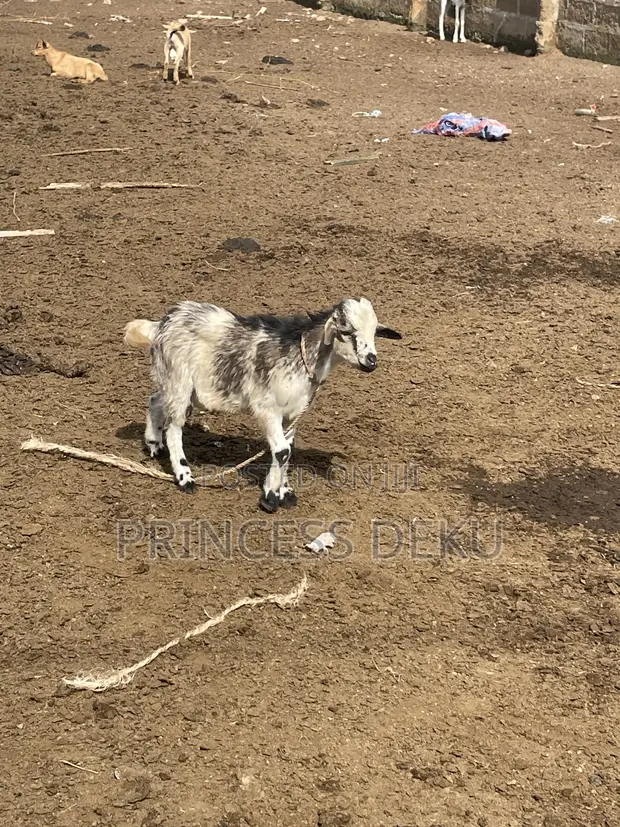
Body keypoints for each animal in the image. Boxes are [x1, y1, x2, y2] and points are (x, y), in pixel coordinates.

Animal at [124, 298, 402, 513]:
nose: (371, 361)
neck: (298, 357)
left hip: (183, 387)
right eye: (346, 331)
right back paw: (185, 477)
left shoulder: (292, 414)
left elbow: (288, 450)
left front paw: (285, 492)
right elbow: (281, 451)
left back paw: (153, 443)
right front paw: (269, 497)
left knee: (155, 399)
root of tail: (163, 323)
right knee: (174, 428)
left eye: (374, 332)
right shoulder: (267, 409)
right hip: (179, 382)